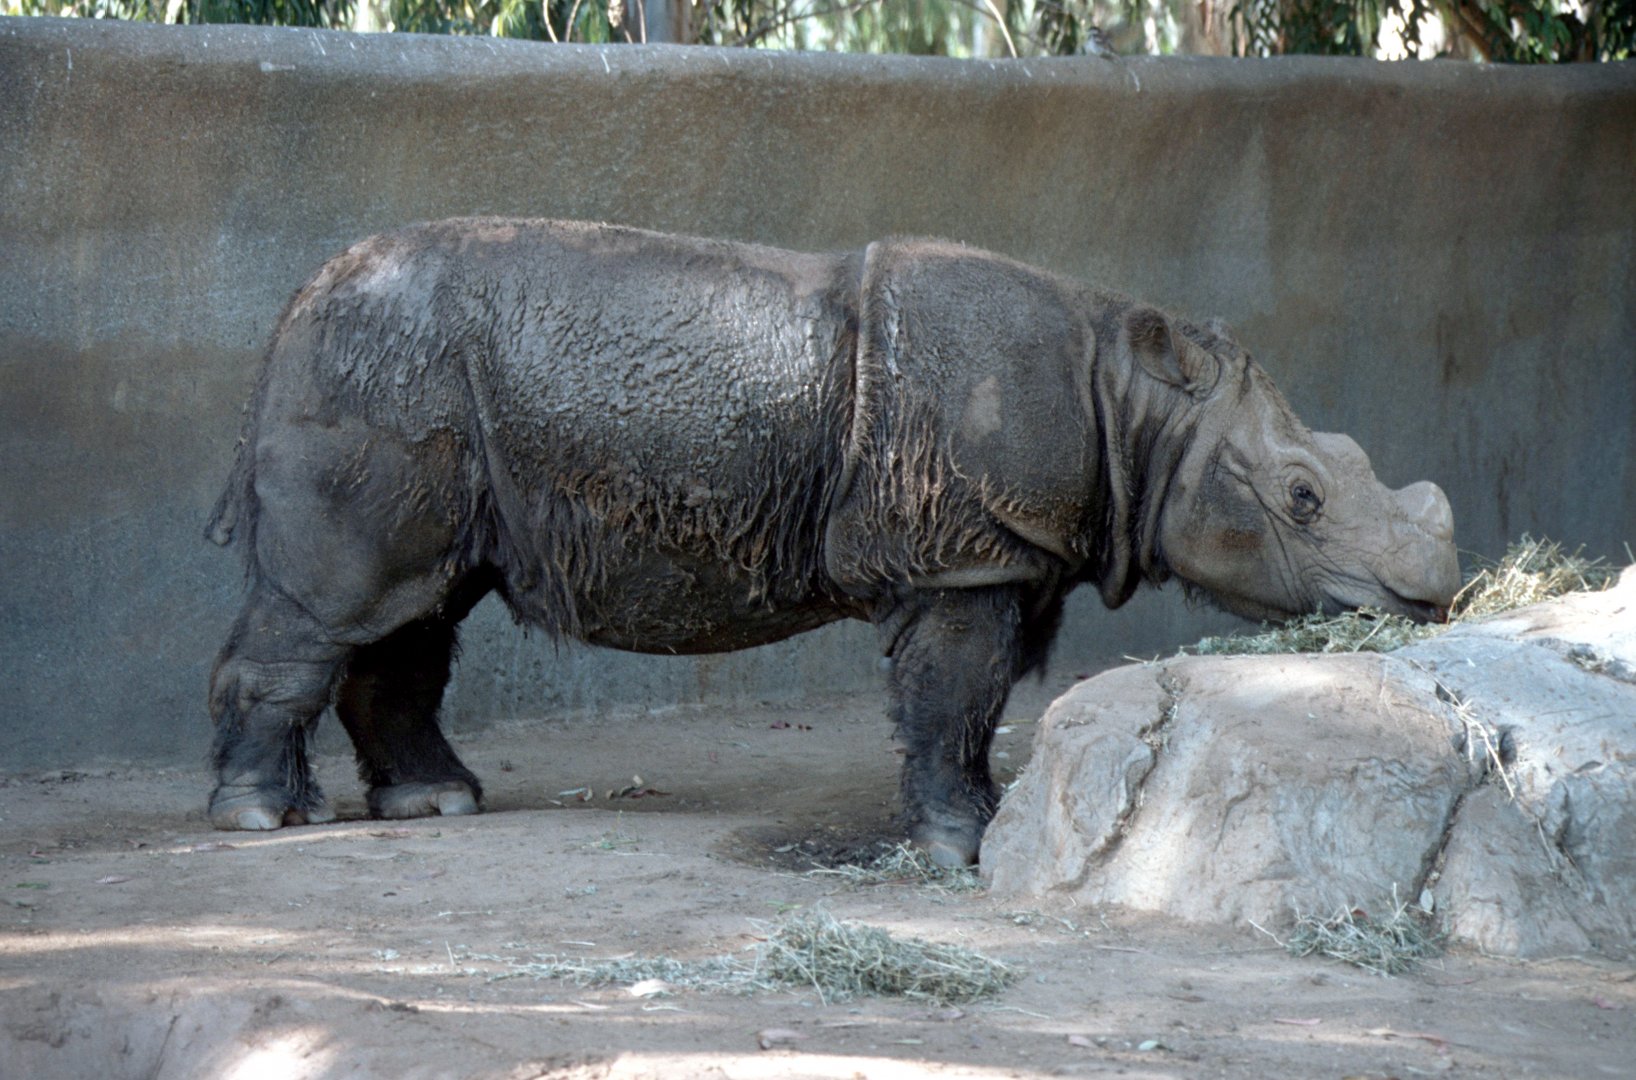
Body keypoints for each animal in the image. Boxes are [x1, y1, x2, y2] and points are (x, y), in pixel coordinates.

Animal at [205, 219, 1460, 865]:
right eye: (1301, 497)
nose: (1428, 597)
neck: (1131, 407)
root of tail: (289, 306)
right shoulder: (962, 553)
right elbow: (954, 693)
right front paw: (963, 848)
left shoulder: (1007, 551)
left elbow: (973, 700)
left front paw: (970, 828)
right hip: (376, 370)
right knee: (340, 602)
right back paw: (265, 822)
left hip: (422, 389)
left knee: (414, 603)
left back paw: (433, 806)